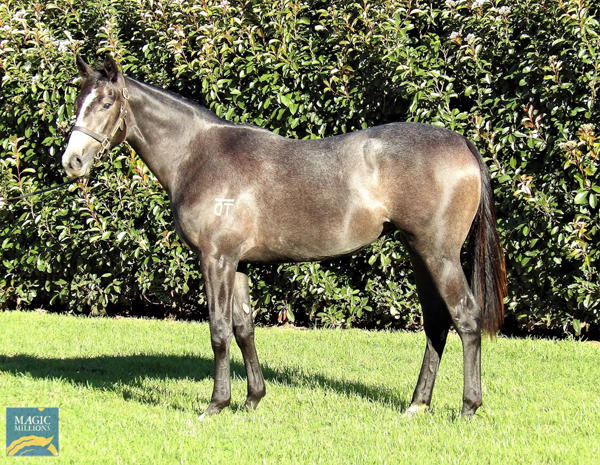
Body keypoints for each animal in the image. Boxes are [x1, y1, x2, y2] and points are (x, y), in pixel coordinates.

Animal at [62, 54, 507, 418]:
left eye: (105, 103)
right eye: (78, 100)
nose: (72, 161)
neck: (200, 156)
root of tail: (461, 142)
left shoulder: (215, 259)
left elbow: (218, 330)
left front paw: (215, 404)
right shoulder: (236, 262)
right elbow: (244, 328)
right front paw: (252, 399)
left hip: (439, 255)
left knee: (466, 318)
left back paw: (468, 406)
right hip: (419, 252)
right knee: (436, 323)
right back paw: (417, 404)